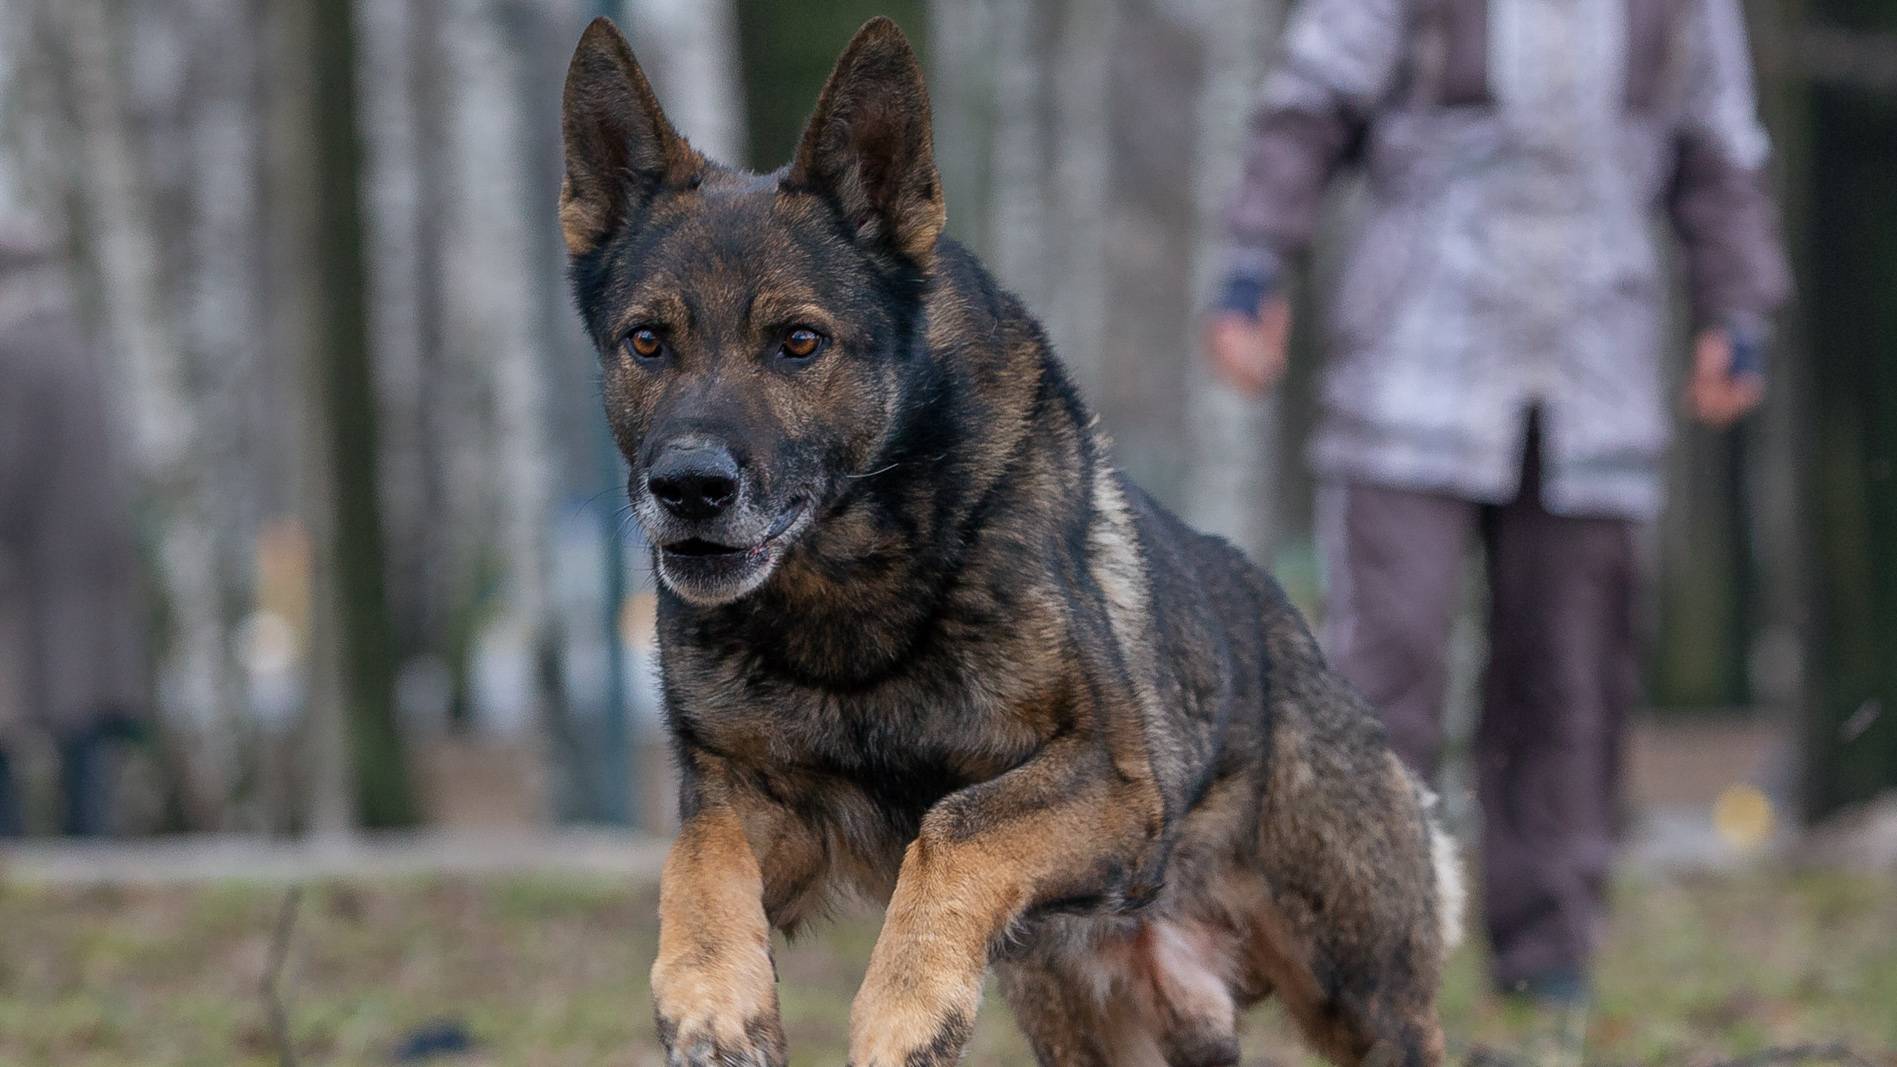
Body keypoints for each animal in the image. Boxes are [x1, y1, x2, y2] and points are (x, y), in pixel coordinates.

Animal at [553, 16, 1456, 1063]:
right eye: (646, 341)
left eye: (799, 342)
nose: (689, 488)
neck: (849, 608)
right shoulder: (754, 800)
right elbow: (697, 855)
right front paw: (709, 989)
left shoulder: (1111, 786)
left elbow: (952, 824)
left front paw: (905, 1003)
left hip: (1362, 997)